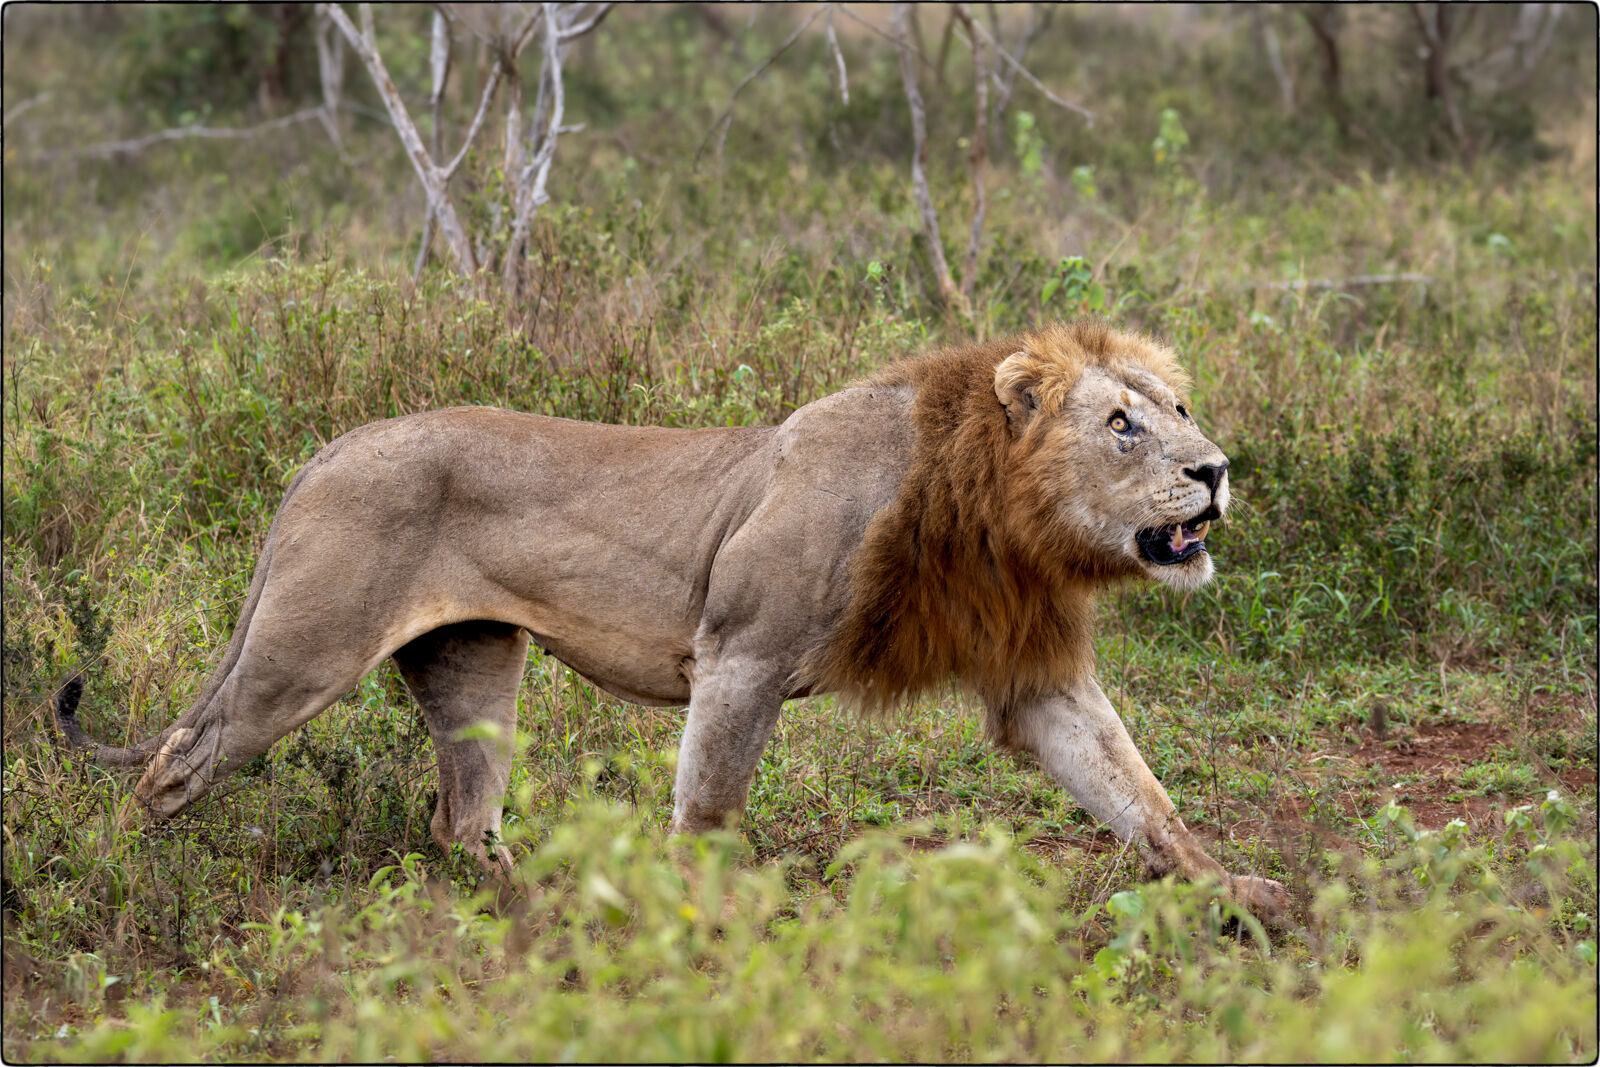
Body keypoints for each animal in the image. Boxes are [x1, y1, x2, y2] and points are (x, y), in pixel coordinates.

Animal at [54, 320, 1288, 921]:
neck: (993, 506)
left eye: (1180, 405)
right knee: (171, 764)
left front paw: (1236, 894)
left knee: (463, 820)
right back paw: (92, 879)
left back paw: (545, 911)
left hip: (470, 663)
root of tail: (327, 447)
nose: (1216, 470)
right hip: (301, 650)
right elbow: (709, 812)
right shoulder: (739, 654)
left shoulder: (1037, 676)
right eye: (1123, 423)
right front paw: (701, 931)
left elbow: (1137, 792)